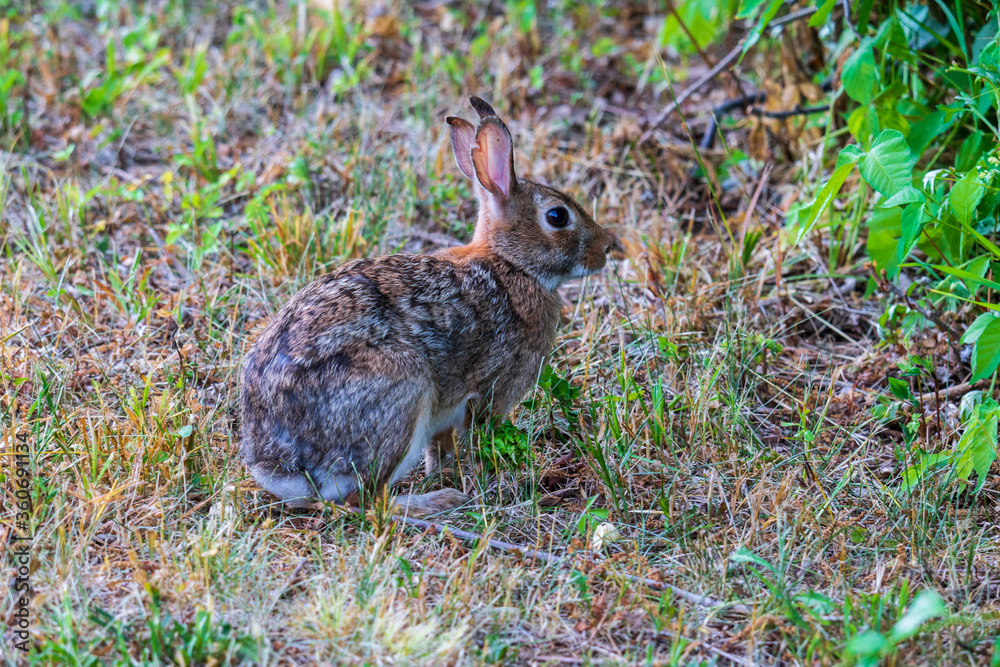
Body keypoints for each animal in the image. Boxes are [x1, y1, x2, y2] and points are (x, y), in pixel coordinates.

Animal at [240, 96, 615, 515]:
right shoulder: (492, 392)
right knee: (367, 501)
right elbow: (479, 439)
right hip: (404, 390)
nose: (607, 248)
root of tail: (279, 465)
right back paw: (437, 502)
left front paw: (444, 471)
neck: (510, 264)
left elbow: (442, 449)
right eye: (557, 216)